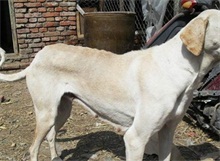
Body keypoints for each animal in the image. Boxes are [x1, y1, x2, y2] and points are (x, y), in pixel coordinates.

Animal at [0, 9, 220, 161]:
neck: (177, 66)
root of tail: (36, 58)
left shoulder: (167, 132)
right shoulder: (135, 138)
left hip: (61, 111)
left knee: (51, 136)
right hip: (46, 114)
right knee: (33, 148)